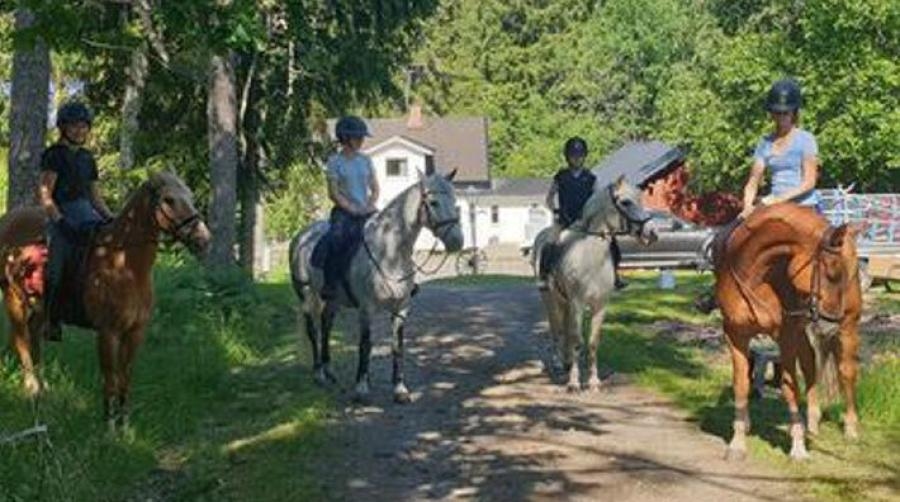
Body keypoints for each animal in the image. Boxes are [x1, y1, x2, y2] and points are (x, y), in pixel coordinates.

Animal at [0, 171, 209, 430]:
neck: (125, 266)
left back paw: (42, 389)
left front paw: (125, 423)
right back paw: (32, 389)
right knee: (21, 342)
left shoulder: (135, 332)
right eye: (169, 199)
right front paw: (109, 424)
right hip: (14, 301)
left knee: (34, 343)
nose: (203, 238)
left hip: (39, 310)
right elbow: (110, 378)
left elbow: (125, 376)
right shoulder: (108, 332)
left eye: (189, 195)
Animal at [288, 171, 464, 402]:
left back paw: (329, 370)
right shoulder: (366, 308)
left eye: (455, 202)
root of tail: (302, 236)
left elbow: (397, 346)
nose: (457, 242)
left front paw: (400, 388)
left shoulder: (401, 309)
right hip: (306, 294)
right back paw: (319, 374)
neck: (389, 253)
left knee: (326, 325)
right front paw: (362, 386)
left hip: (334, 300)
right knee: (313, 330)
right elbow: (365, 344)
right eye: (433, 202)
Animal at [532, 176, 656, 392]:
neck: (590, 257)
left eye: (641, 200)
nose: (651, 233)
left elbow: (592, 342)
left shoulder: (600, 305)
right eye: (626, 202)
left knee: (565, 328)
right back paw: (558, 363)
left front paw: (593, 382)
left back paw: (567, 362)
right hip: (550, 298)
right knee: (557, 329)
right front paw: (574, 383)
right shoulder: (577, 303)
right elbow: (576, 340)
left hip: (565, 301)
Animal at [712, 203, 860, 458]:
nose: (831, 325)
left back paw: (850, 428)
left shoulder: (786, 337)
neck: (756, 275)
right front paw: (738, 442)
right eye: (830, 272)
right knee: (810, 364)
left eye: (843, 274)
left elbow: (790, 387)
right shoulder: (735, 335)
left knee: (846, 371)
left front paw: (798, 447)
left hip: (848, 327)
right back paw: (811, 421)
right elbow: (741, 383)